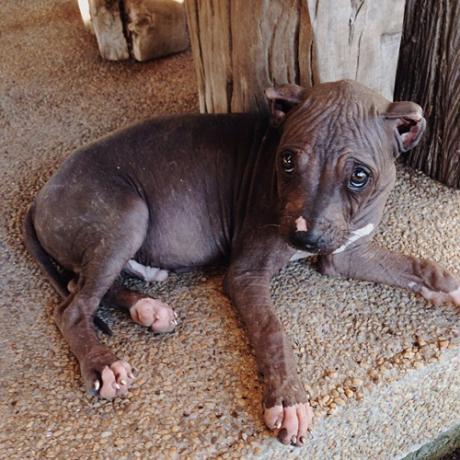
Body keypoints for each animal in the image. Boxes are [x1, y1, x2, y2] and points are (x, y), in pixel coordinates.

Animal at [24, 81, 460, 448]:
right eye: (287, 161)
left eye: (359, 175)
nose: (304, 239)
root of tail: (40, 195)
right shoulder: (245, 274)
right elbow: (271, 330)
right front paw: (288, 401)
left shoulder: (347, 255)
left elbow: (421, 267)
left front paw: (452, 288)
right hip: (126, 215)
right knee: (73, 306)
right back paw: (105, 364)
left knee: (82, 284)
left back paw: (148, 305)